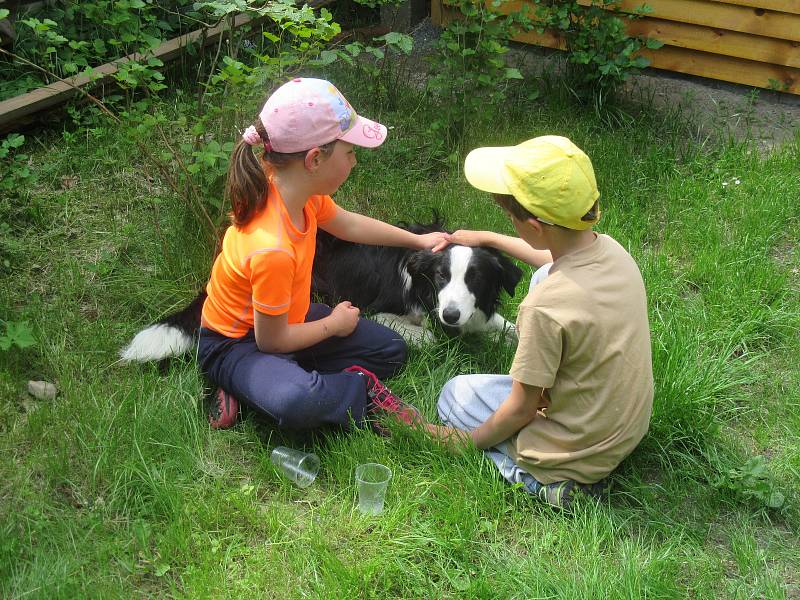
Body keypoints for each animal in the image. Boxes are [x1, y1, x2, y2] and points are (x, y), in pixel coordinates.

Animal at [117, 220, 520, 360]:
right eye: (440, 277)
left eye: (474, 279)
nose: (450, 315)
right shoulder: (373, 308)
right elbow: (429, 337)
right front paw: (432, 335)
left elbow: (510, 326)